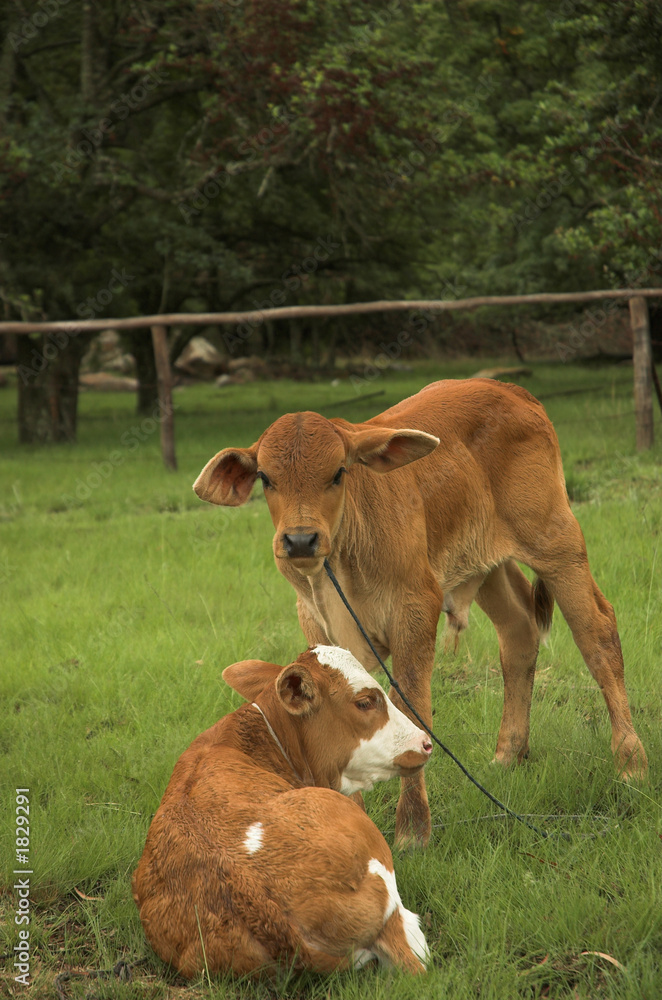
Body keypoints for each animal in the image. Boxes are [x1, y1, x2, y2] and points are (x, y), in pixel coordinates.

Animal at [193, 378, 648, 848]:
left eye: (338, 472)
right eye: (266, 478)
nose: (300, 540)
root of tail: (509, 389)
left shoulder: (415, 607)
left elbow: (414, 710)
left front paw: (413, 830)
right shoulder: (315, 621)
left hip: (556, 542)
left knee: (597, 634)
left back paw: (631, 764)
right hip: (487, 565)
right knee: (519, 631)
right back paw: (508, 754)